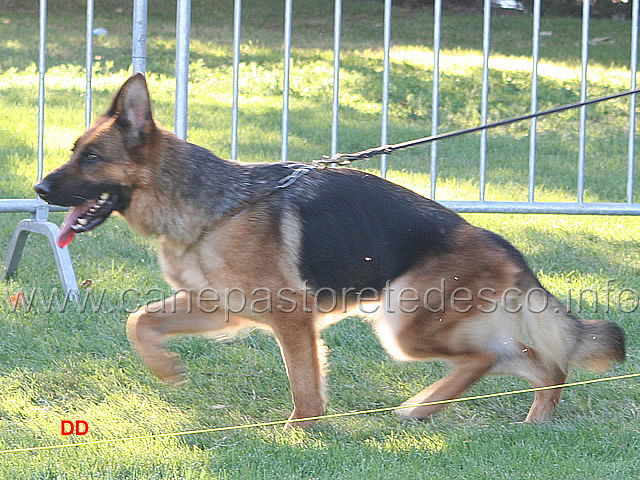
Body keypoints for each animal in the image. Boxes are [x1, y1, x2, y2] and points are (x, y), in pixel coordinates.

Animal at [35, 75, 624, 428]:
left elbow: (305, 386)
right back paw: (520, 414)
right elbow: (139, 320)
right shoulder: (220, 310)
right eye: (74, 152)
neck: (212, 205)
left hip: (404, 324)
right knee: (533, 360)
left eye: (92, 158)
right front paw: (165, 370)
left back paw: (429, 407)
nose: (39, 190)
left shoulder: (290, 318)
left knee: (494, 356)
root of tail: (505, 245)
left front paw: (301, 432)